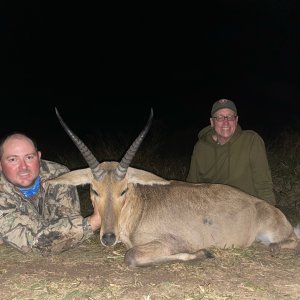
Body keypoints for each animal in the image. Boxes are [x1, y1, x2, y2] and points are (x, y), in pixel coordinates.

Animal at [49, 108, 300, 268]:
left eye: (123, 190)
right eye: (95, 190)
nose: (108, 237)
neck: (140, 208)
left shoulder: (170, 242)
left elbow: (131, 256)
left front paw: (202, 253)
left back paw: (274, 248)